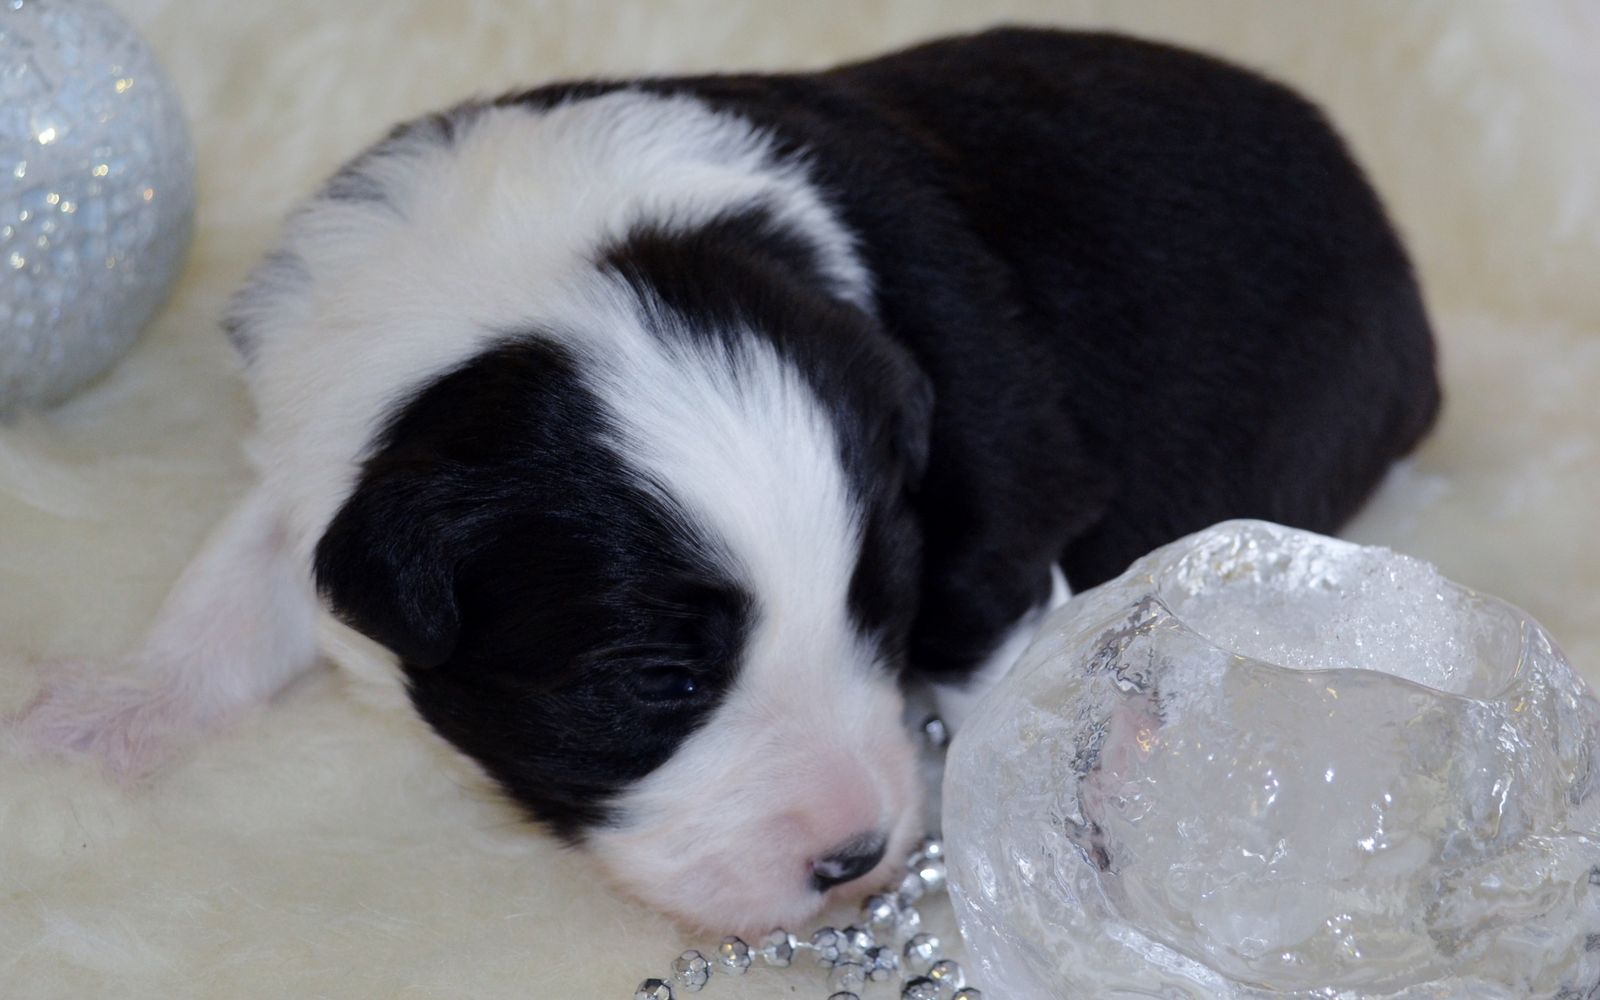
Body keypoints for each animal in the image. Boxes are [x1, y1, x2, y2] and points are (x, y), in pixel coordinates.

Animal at [22, 28, 1440, 931]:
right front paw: (107, 717)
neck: (530, 285)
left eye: (880, 610)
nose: (857, 856)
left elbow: (1004, 689)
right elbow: (234, 582)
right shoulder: (326, 450)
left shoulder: (990, 529)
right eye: (662, 682)